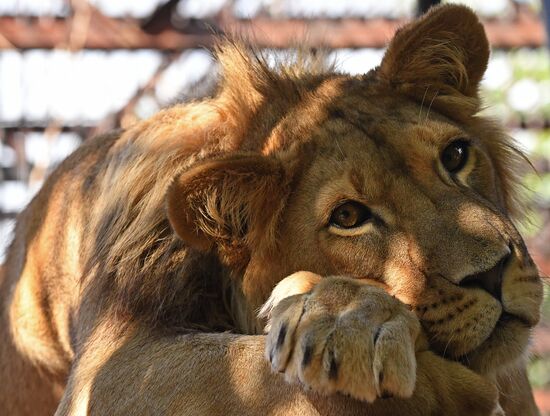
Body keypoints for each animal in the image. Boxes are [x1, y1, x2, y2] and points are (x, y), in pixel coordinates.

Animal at [0, 4, 544, 416]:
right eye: (348, 217)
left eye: (456, 156)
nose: (494, 272)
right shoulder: (110, 368)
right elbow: (242, 369)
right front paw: (355, 325)